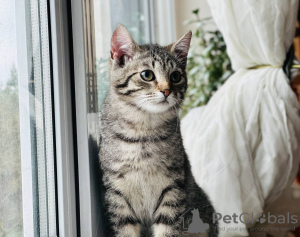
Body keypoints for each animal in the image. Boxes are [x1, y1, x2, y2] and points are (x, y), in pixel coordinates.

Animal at [98, 25, 218, 236]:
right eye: (147, 75)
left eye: (176, 76)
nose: (167, 91)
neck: (143, 130)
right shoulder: (116, 193)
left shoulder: (173, 189)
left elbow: (168, 229)